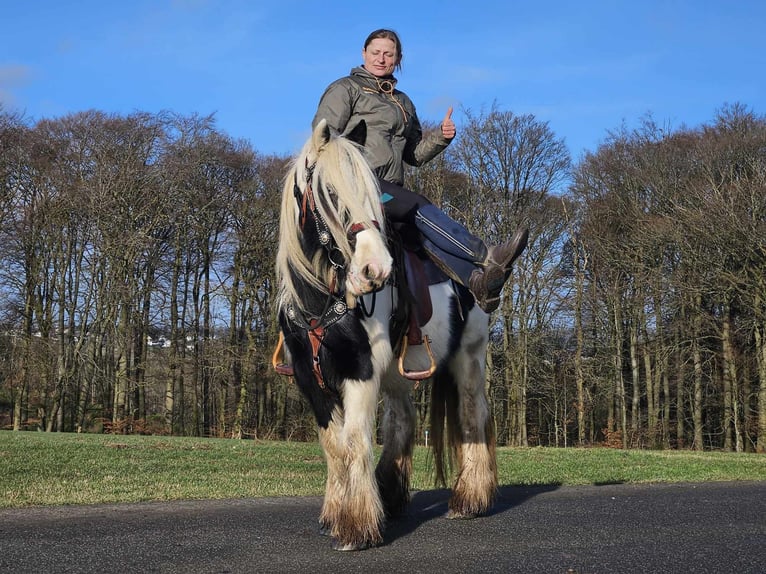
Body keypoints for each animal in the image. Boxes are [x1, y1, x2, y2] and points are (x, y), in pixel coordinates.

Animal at [276, 119, 498, 552]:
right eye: (330, 193)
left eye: (374, 195)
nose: (375, 269)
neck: (320, 299)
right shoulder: (310, 379)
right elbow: (333, 446)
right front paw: (335, 515)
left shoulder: (359, 371)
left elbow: (354, 441)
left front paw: (356, 527)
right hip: (398, 370)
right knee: (402, 419)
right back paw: (391, 496)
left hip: (469, 357)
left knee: (471, 416)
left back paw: (469, 499)